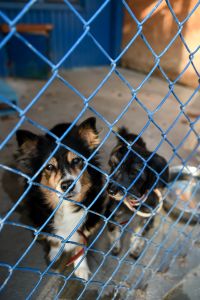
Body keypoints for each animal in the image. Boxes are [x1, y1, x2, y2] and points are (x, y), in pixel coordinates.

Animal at [15, 116, 107, 278]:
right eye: (49, 167)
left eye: (76, 160)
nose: (67, 185)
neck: (66, 205)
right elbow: (54, 240)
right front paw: (55, 254)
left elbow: (80, 245)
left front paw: (81, 268)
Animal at [106, 127, 169, 256]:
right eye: (114, 165)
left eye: (134, 173)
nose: (110, 191)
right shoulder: (111, 211)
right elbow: (113, 227)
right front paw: (115, 245)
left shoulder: (149, 213)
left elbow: (141, 232)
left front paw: (136, 248)